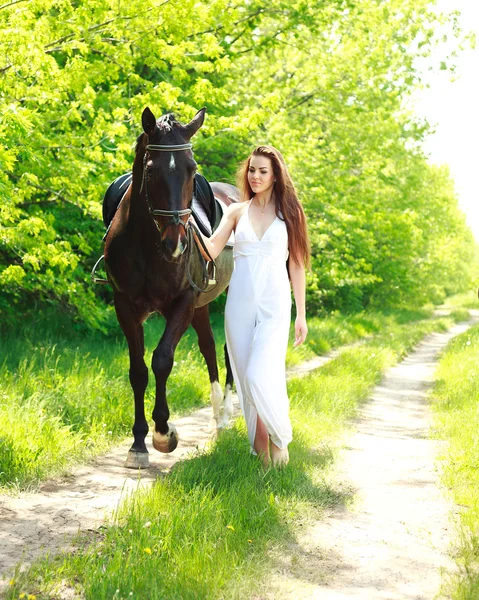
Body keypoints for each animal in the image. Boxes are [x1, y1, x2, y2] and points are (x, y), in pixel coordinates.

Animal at [105, 105, 240, 468]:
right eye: (150, 170)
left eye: (192, 169)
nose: (176, 243)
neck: (146, 243)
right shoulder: (126, 306)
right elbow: (138, 371)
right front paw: (138, 443)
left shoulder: (183, 301)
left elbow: (162, 359)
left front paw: (164, 433)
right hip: (202, 306)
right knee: (209, 347)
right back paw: (217, 415)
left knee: (226, 348)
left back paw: (225, 416)